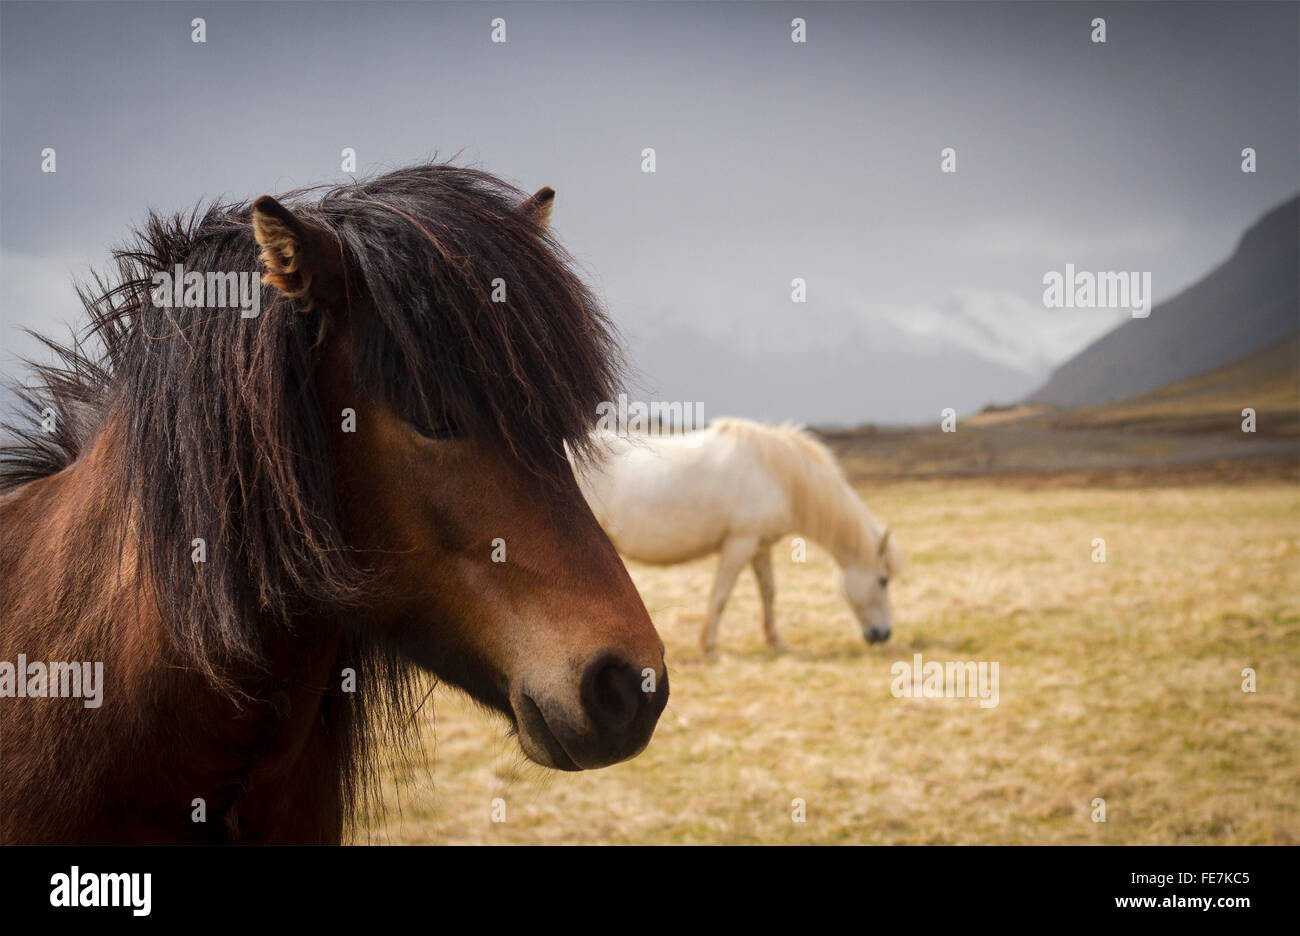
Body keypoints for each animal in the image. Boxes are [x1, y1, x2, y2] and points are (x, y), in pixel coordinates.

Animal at [574, 421, 899, 655]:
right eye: (883, 580)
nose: (884, 635)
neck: (775, 475)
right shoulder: (739, 544)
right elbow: (720, 595)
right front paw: (708, 645)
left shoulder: (760, 547)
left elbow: (769, 592)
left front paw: (775, 641)